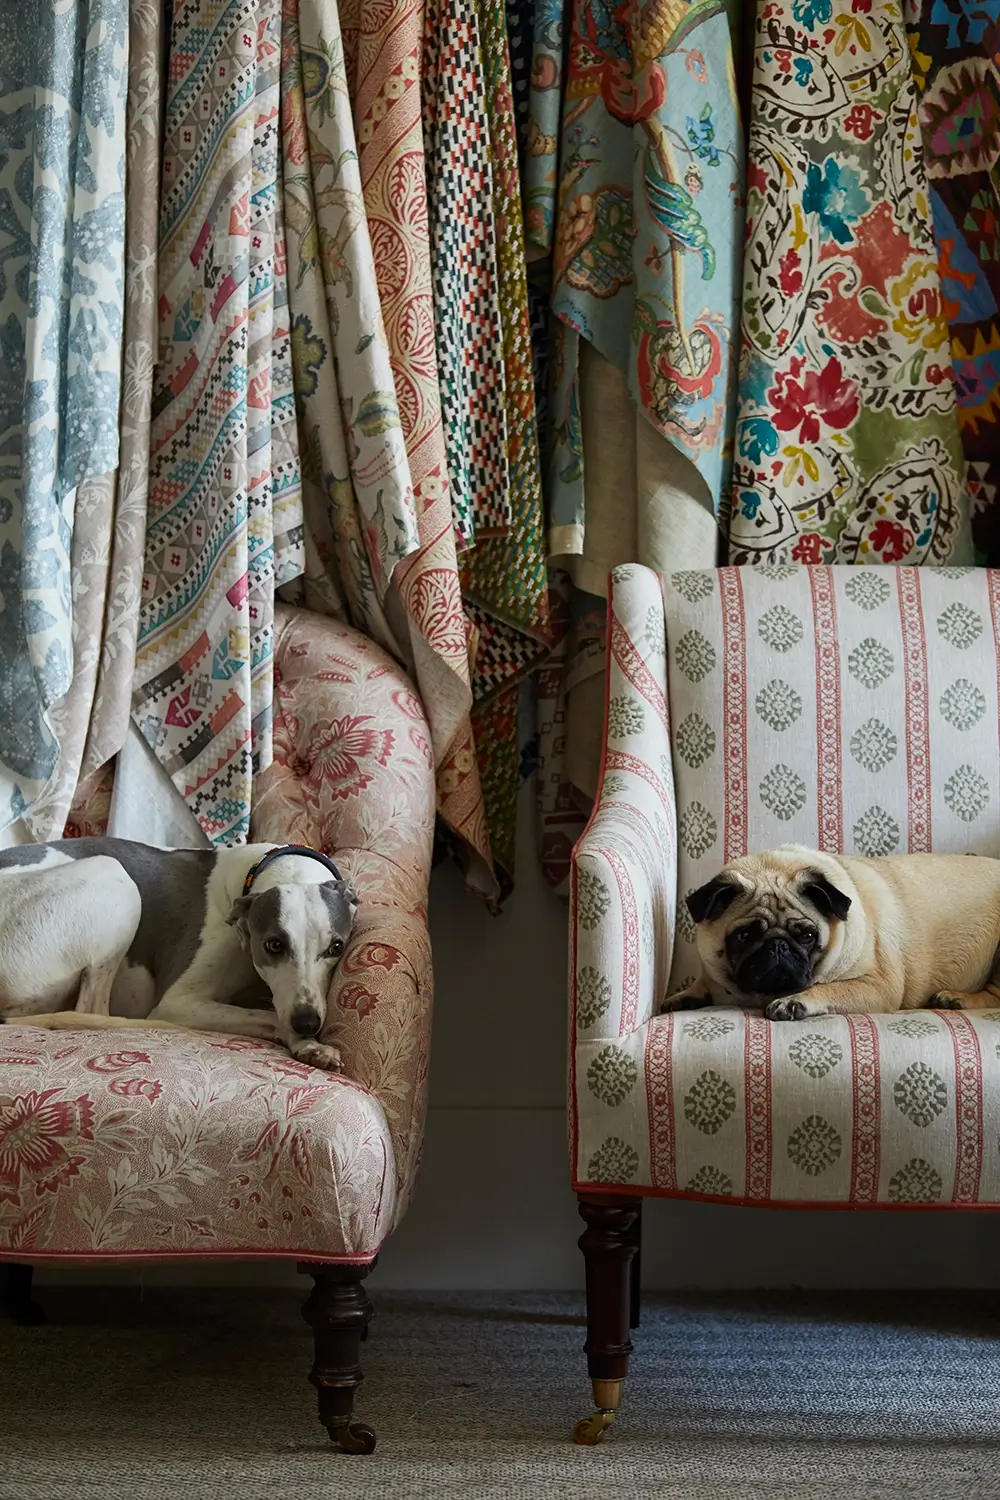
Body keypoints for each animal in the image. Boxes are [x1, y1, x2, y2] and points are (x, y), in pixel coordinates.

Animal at [0, 846, 355, 1068]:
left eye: (336, 947)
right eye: (274, 945)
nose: (307, 1023)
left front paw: (309, 1043)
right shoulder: (177, 1003)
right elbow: (268, 1016)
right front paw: (306, 1044)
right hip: (112, 875)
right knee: (92, 1011)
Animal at [665, 846, 1000, 1020]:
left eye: (807, 936)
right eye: (744, 936)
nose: (778, 947)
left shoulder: (879, 985)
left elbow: (833, 988)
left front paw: (794, 1001)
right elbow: (704, 982)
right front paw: (686, 995)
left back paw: (957, 999)